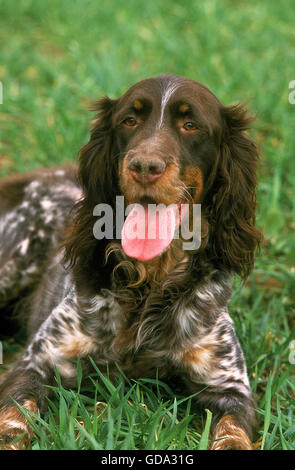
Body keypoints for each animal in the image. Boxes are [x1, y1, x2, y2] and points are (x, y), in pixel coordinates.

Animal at [0, 75, 264, 450]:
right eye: (129, 120)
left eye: (190, 125)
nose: (145, 166)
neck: (149, 284)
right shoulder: (37, 362)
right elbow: (14, 418)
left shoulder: (230, 386)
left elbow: (233, 433)